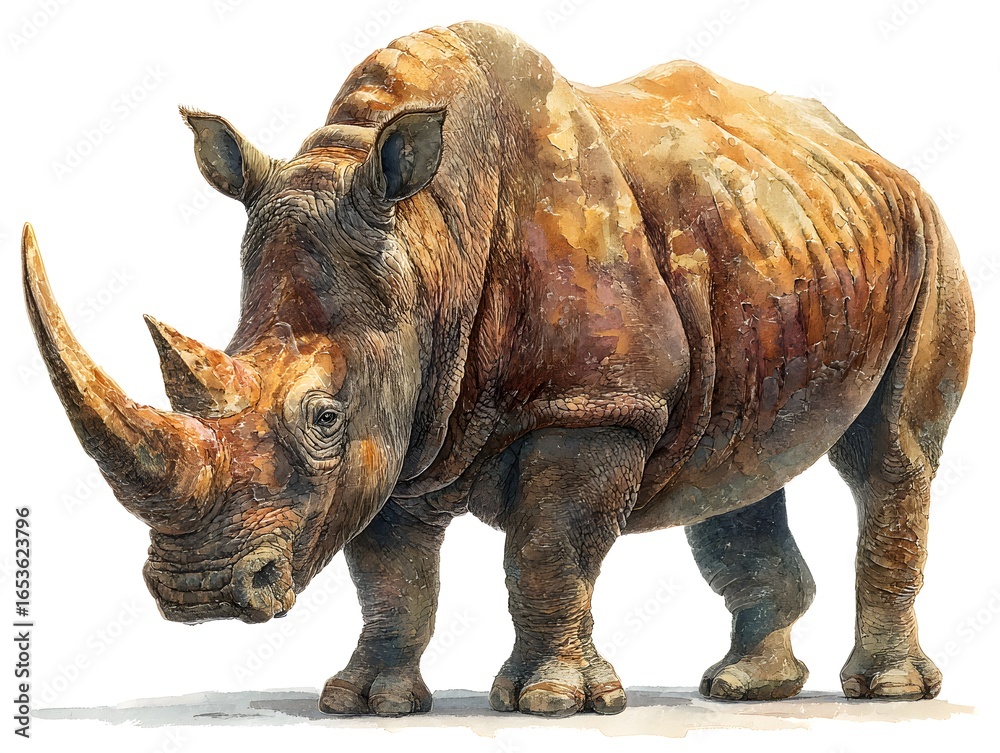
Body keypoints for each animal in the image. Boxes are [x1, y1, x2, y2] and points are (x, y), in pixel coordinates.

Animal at [24, 22, 974, 717]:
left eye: (323, 417)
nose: (197, 593)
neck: (426, 239)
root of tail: (872, 154)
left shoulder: (593, 404)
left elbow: (548, 549)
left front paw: (555, 703)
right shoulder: (403, 423)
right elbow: (391, 576)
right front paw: (366, 703)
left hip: (930, 236)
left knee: (887, 456)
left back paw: (886, 692)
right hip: (776, 247)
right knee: (738, 467)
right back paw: (745, 689)